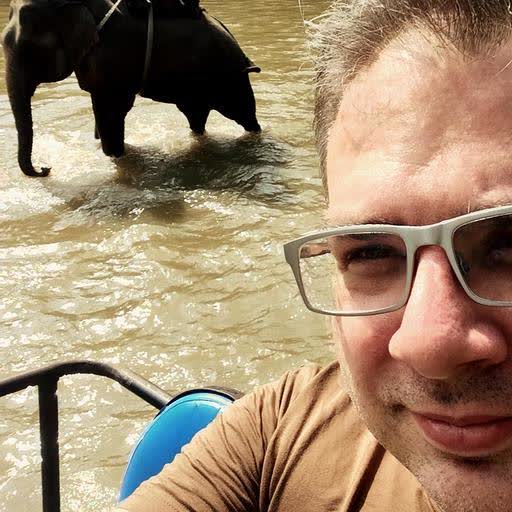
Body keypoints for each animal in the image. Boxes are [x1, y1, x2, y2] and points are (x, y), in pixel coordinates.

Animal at [1, 0, 261, 177]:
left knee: (244, 113)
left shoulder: (112, 57)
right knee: (196, 118)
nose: (45, 168)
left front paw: (116, 158)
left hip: (229, 78)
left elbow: (110, 114)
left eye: (29, 48)